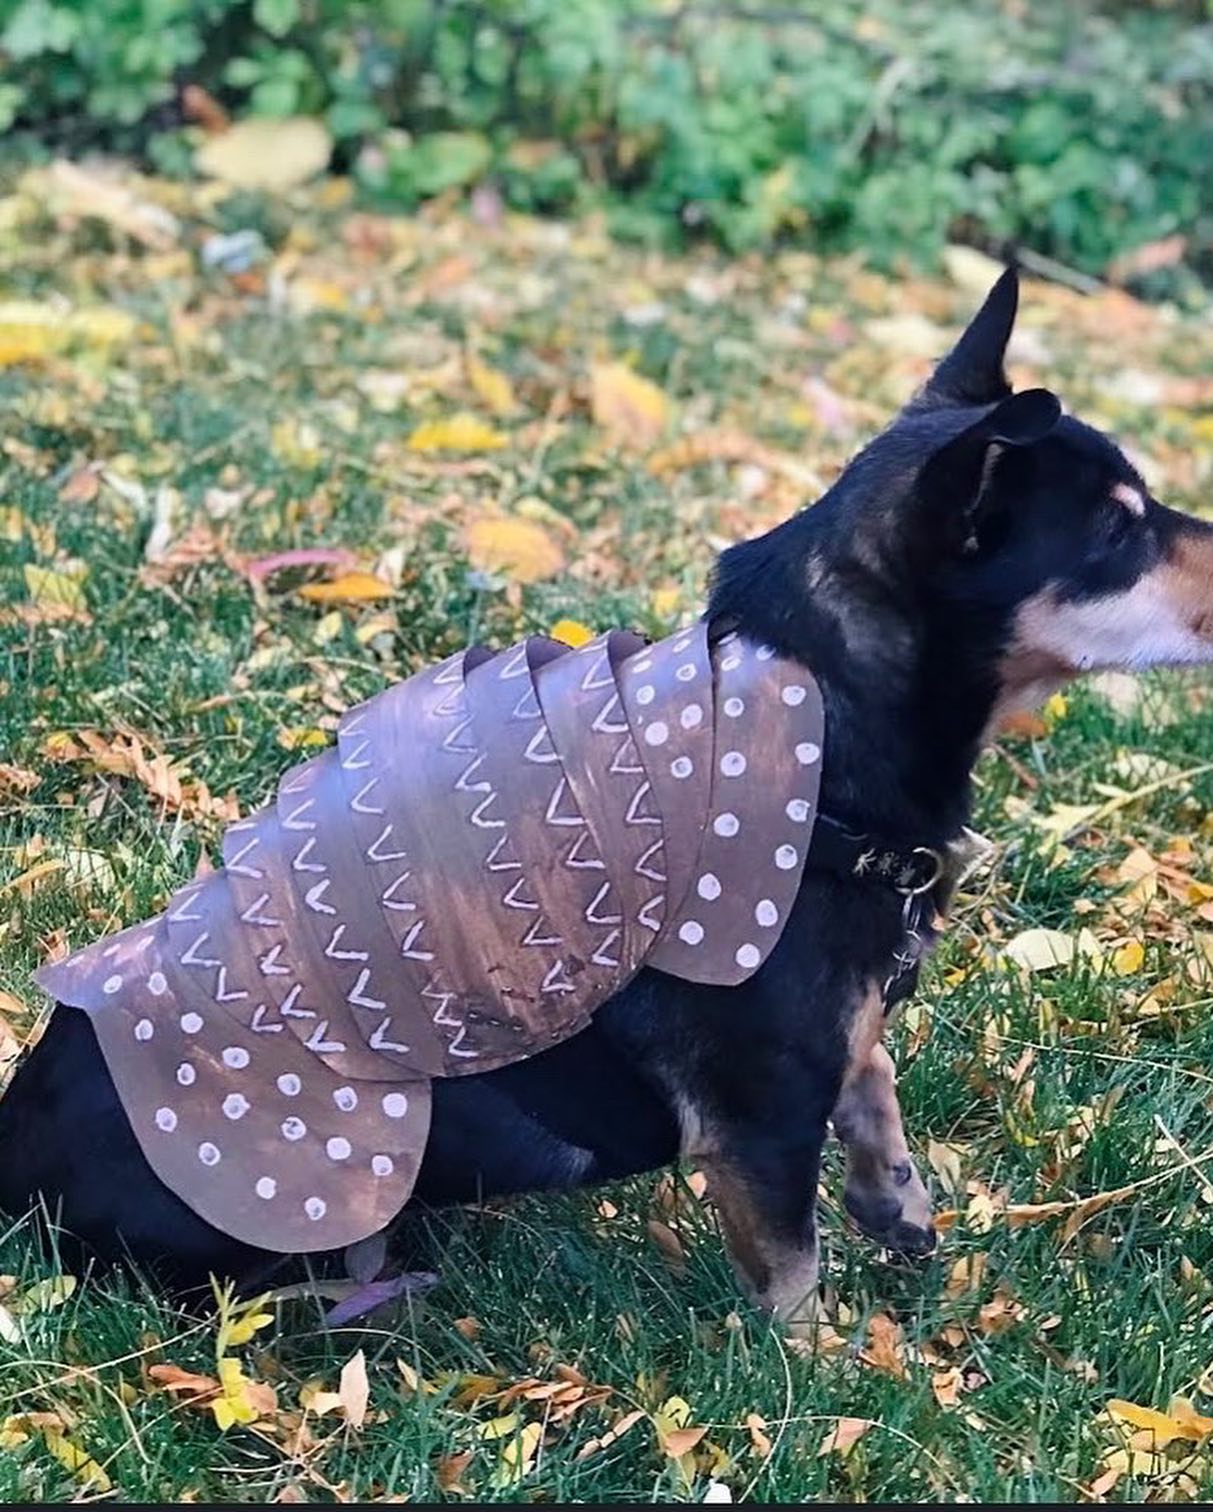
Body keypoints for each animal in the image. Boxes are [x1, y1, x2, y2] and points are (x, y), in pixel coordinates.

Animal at [4, 268, 1212, 1331]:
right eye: (1116, 531)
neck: (819, 730)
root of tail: (16, 1157)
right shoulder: (761, 1119)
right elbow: (792, 1271)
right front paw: (819, 1388)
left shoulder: (839, 1026)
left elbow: (872, 1077)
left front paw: (899, 1207)